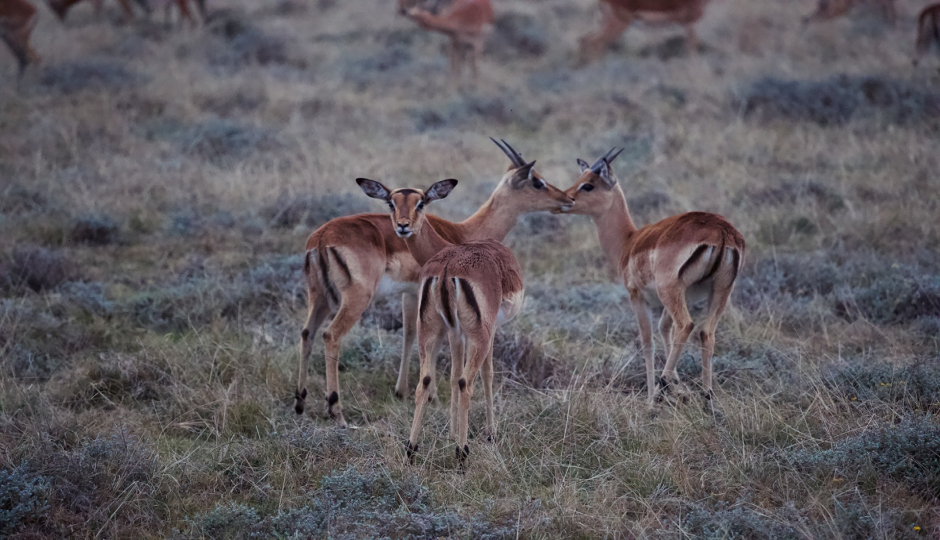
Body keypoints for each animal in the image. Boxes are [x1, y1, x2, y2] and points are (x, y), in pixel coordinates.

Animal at [294, 139, 572, 426]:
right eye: (537, 181)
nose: (567, 199)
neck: (463, 233)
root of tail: (321, 238)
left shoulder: (410, 294)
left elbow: (409, 334)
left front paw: (402, 391)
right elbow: (433, 346)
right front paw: (433, 398)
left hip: (320, 297)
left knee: (306, 333)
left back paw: (300, 402)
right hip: (355, 299)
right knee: (331, 334)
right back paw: (335, 409)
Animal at [356, 178, 524, 468]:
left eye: (420, 203)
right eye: (391, 203)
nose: (402, 226)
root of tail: (447, 269)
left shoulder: (454, 332)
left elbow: (452, 374)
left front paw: (452, 432)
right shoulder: (488, 331)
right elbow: (486, 374)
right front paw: (488, 435)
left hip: (428, 329)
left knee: (424, 381)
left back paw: (411, 449)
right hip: (478, 335)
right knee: (466, 383)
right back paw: (462, 454)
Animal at [560, 148, 744, 410]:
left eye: (588, 185)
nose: (565, 200)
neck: (628, 241)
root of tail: (722, 232)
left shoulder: (637, 297)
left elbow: (648, 342)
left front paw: (652, 397)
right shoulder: (683, 296)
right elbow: (664, 328)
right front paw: (678, 388)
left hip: (672, 290)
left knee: (686, 325)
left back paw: (661, 389)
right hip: (719, 291)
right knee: (706, 333)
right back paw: (707, 399)